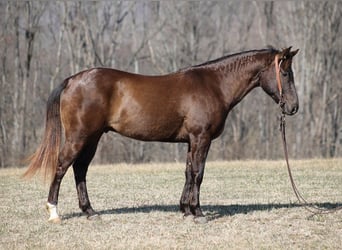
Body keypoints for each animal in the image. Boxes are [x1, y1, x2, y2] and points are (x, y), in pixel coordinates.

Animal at [24, 46, 300, 223]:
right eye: (286, 73)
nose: (293, 107)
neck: (214, 85)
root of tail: (72, 80)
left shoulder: (191, 141)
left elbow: (188, 172)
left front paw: (185, 210)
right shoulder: (201, 138)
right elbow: (198, 173)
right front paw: (198, 213)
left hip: (92, 138)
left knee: (80, 169)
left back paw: (90, 211)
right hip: (79, 137)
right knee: (62, 166)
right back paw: (54, 212)